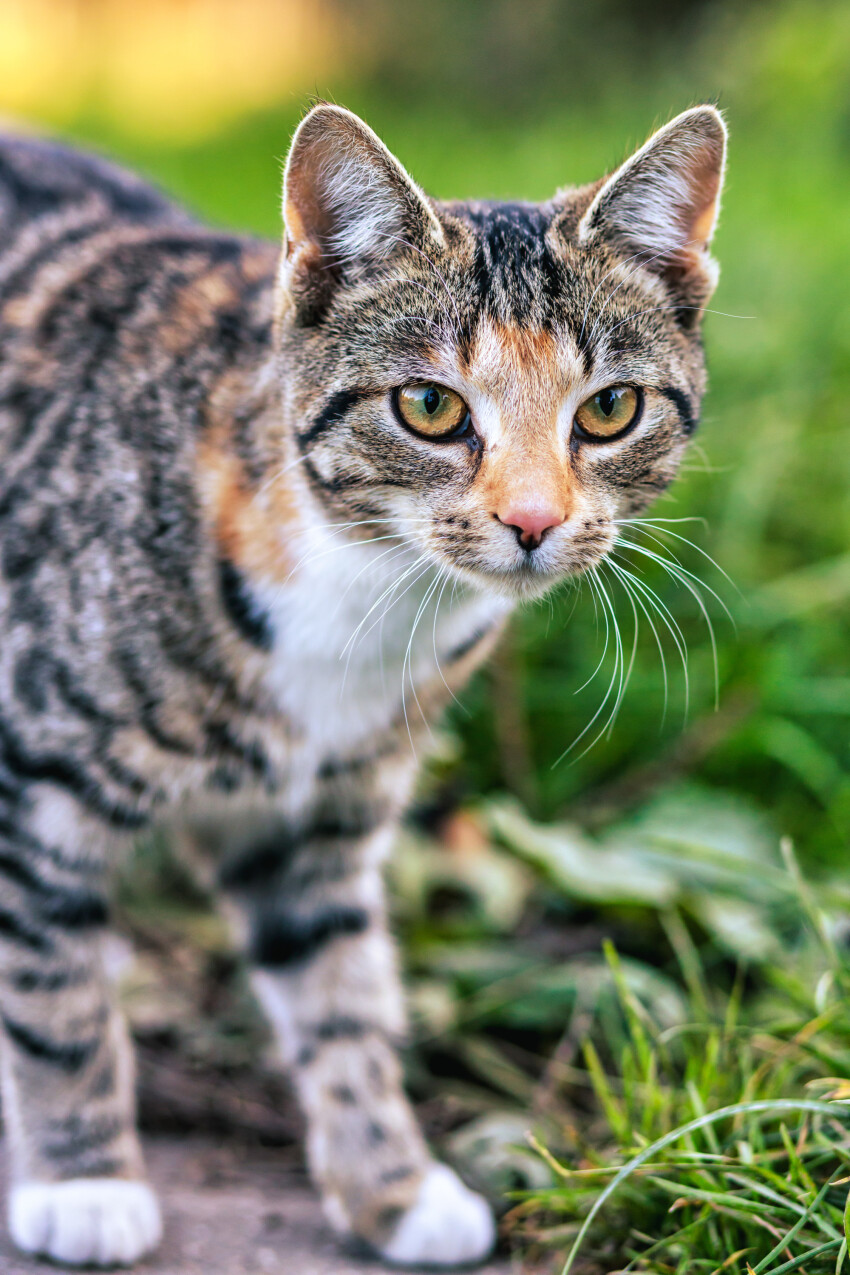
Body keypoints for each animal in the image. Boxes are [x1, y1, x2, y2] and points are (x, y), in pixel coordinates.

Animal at [0, 104, 723, 1269]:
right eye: (427, 404)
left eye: (611, 408)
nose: (533, 520)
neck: (367, 595)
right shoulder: (36, 771)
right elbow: (54, 984)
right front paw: (85, 1181)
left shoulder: (321, 817)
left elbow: (340, 990)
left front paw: (390, 1184)